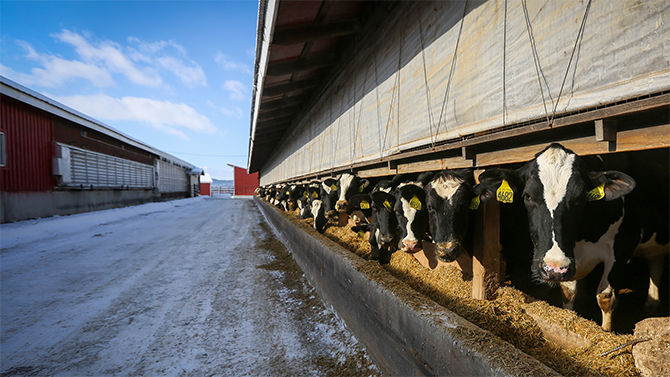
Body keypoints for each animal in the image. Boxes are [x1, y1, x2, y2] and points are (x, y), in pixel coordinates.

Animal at [476, 143, 636, 328]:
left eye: (582, 196)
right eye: (527, 195)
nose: (553, 269)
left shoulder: (624, 246)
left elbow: (605, 296)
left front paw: (606, 330)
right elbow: (568, 292)